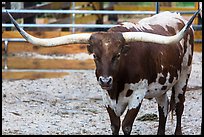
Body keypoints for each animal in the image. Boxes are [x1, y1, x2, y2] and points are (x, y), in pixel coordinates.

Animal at [7, 10, 199, 135]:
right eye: (95, 55)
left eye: (117, 55)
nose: (105, 80)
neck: (117, 85)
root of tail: (177, 16)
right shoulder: (106, 97)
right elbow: (114, 125)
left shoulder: (137, 94)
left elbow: (126, 125)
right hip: (161, 85)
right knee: (163, 107)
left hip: (184, 76)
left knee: (179, 107)